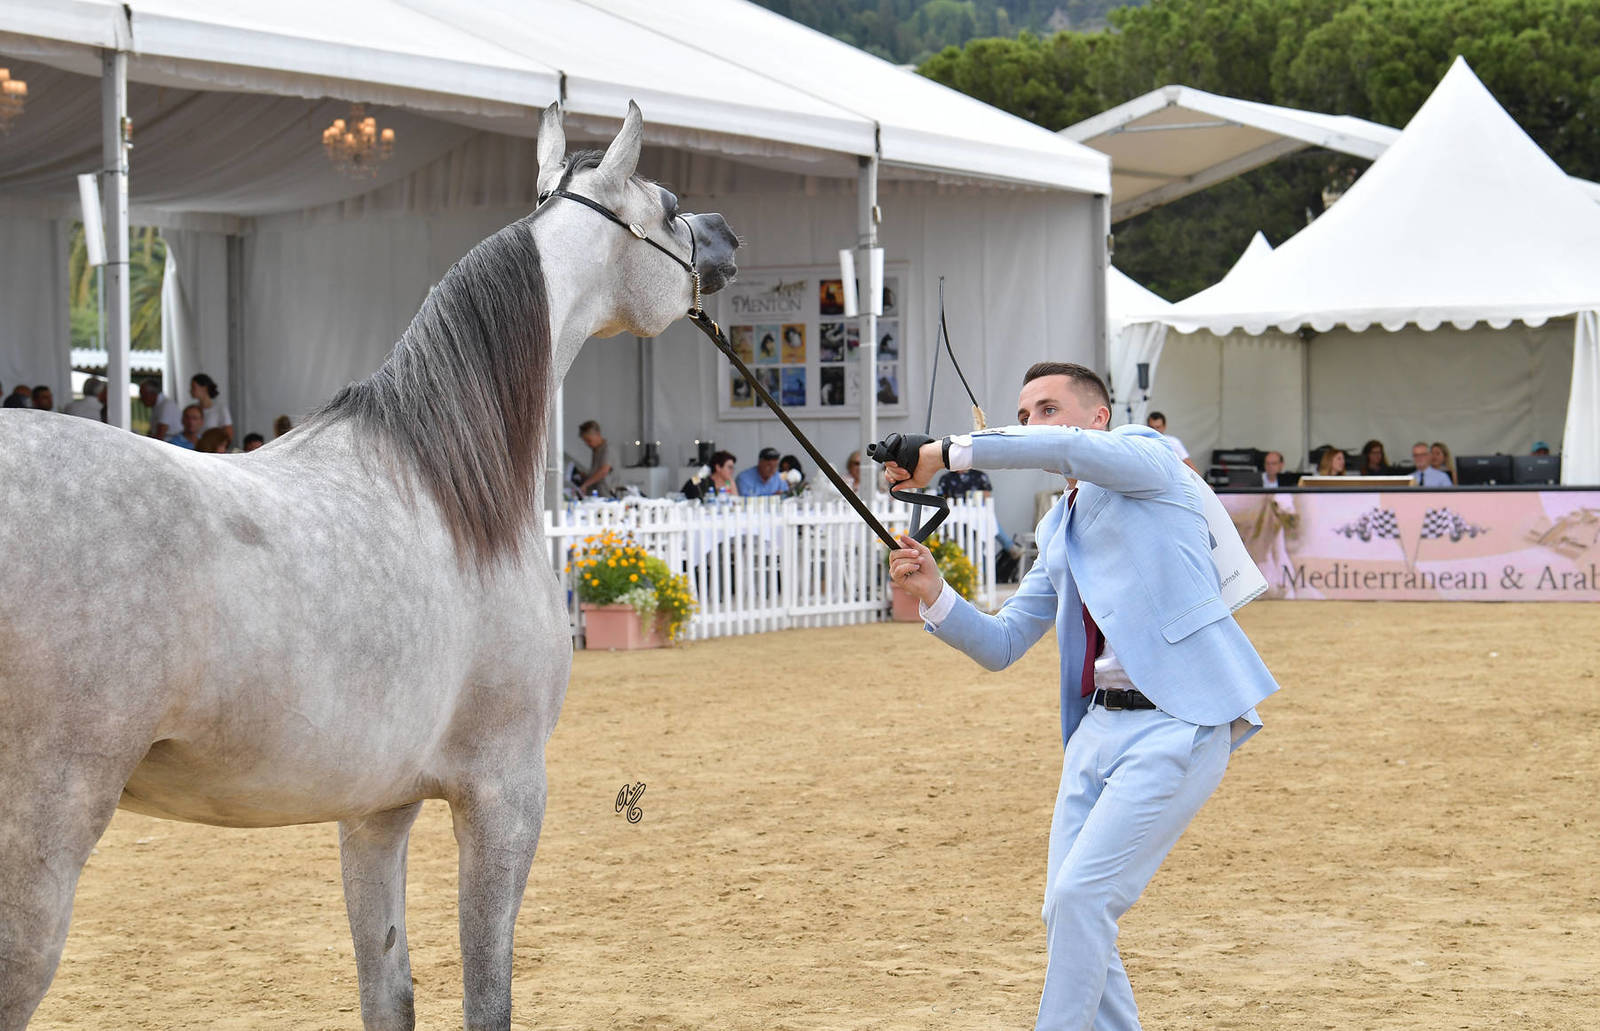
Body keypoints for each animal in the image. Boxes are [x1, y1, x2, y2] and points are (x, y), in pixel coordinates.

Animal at [0, 101, 739, 1031]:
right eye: (670, 205)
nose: (728, 236)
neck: (451, 485)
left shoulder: (376, 810)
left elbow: (388, 990)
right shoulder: (505, 796)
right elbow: (486, 996)